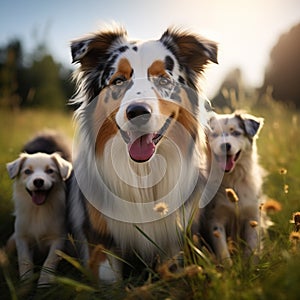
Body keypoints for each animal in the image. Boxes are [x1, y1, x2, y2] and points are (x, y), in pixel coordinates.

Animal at [6, 138, 72, 286]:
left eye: (50, 171)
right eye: (27, 171)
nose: (38, 181)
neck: (38, 211)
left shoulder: (59, 238)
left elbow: (50, 262)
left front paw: (44, 283)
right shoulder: (22, 237)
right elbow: (24, 262)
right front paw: (26, 284)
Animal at [69, 24, 217, 280]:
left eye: (163, 80)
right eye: (118, 80)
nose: (137, 112)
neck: (144, 174)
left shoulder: (174, 239)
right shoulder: (101, 241)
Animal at [202, 112, 264, 264]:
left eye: (236, 133)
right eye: (214, 134)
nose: (225, 145)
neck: (233, 179)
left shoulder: (252, 217)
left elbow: (251, 248)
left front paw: (250, 267)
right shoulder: (215, 219)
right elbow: (223, 251)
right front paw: (229, 268)